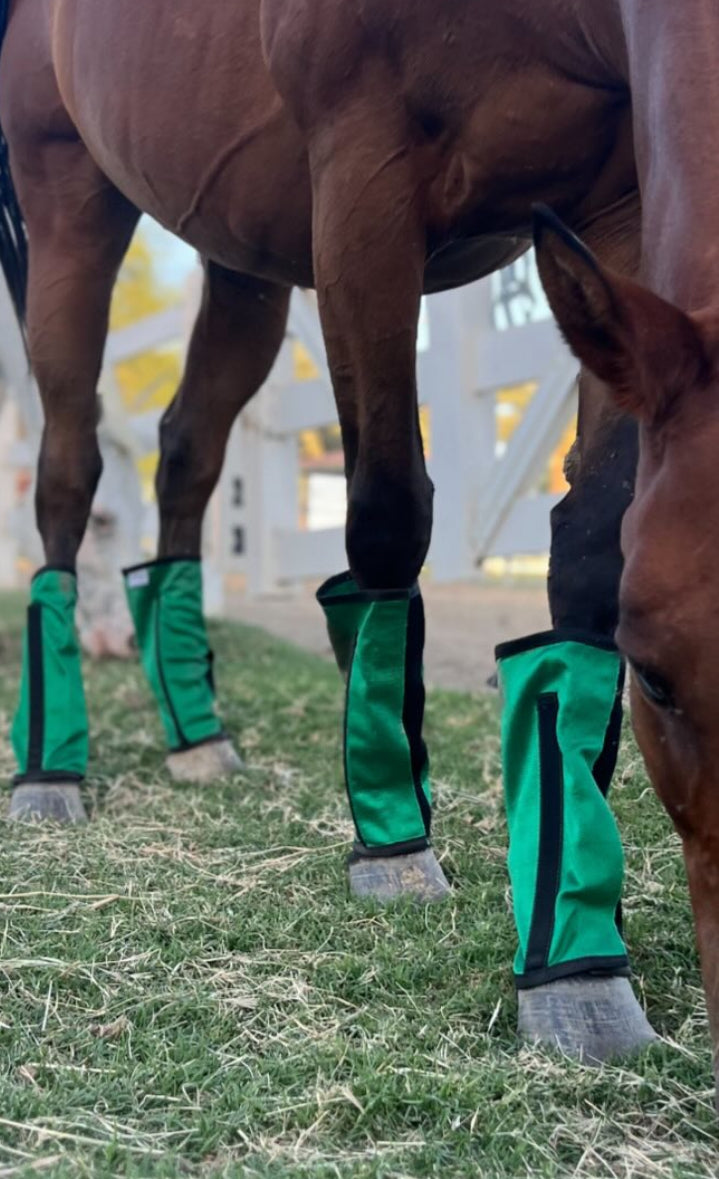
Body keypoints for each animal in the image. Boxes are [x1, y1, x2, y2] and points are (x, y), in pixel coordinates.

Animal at [3, 0, 719, 1094]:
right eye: (655, 676)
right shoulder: (363, 189)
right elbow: (387, 515)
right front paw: (392, 842)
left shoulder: (614, 216)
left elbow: (588, 539)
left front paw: (577, 961)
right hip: (69, 203)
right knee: (69, 471)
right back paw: (50, 773)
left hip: (243, 260)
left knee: (185, 456)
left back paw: (196, 733)